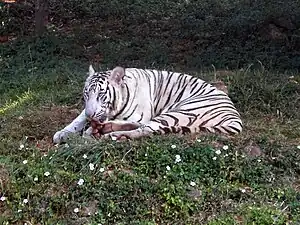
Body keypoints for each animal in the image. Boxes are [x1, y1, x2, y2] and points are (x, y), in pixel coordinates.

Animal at [52, 65, 243, 143]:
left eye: (101, 94)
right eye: (86, 94)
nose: (91, 115)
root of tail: (234, 116)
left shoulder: (139, 114)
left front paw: (89, 129)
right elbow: (77, 120)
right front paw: (62, 133)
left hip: (181, 110)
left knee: (146, 129)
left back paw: (109, 134)